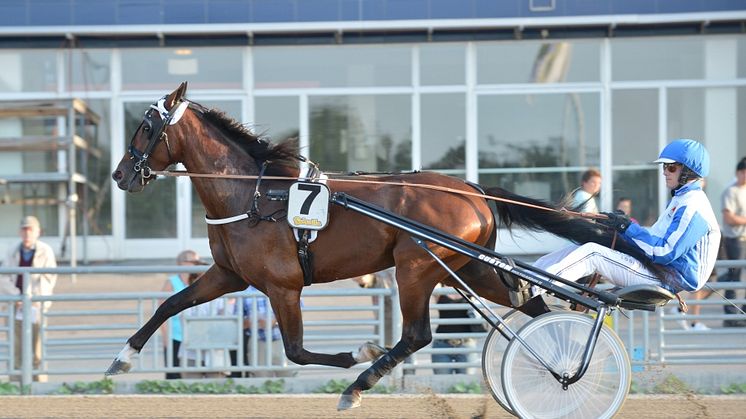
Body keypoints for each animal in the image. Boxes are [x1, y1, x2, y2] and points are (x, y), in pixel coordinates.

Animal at [109, 83, 664, 412]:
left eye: (145, 126)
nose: (119, 175)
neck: (257, 193)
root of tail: (473, 190)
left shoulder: (283, 286)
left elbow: (295, 350)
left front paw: (359, 353)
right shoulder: (228, 275)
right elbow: (170, 304)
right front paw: (123, 359)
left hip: (415, 266)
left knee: (418, 334)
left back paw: (361, 384)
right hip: (468, 267)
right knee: (533, 306)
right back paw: (555, 376)